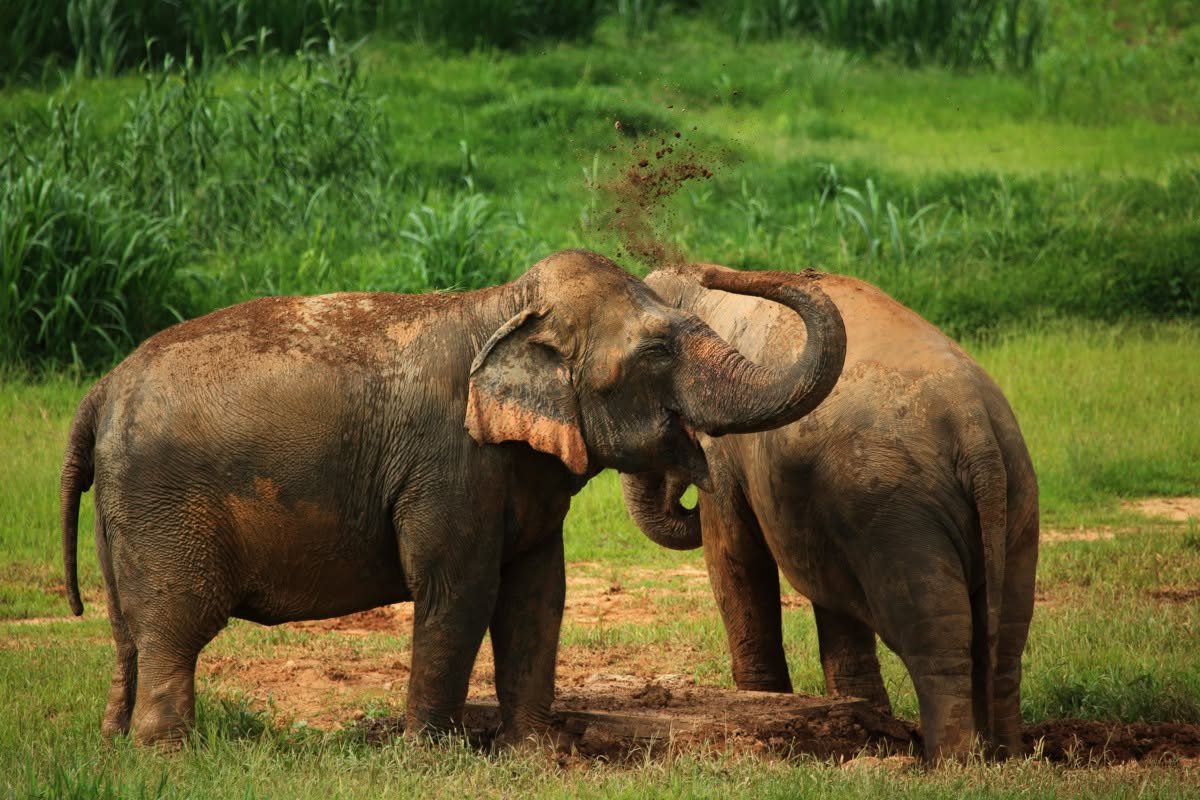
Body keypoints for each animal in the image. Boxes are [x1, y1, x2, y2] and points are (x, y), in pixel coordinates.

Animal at [60, 249, 847, 748]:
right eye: (657, 351)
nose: (701, 267)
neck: (504, 308)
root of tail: (101, 390)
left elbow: (538, 594)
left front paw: (535, 753)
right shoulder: (448, 463)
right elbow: (458, 590)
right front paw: (429, 754)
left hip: (124, 511)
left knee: (129, 632)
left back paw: (116, 745)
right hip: (164, 503)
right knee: (176, 626)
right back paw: (168, 754)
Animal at [621, 263, 1038, 761]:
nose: (677, 491)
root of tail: (975, 432)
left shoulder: (724, 447)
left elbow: (736, 560)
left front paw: (765, 705)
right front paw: (861, 723)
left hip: (899, 514)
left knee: (934, 636)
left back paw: (950, 763)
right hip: (1016, 500)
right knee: (1007, 637)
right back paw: (1006, 755)